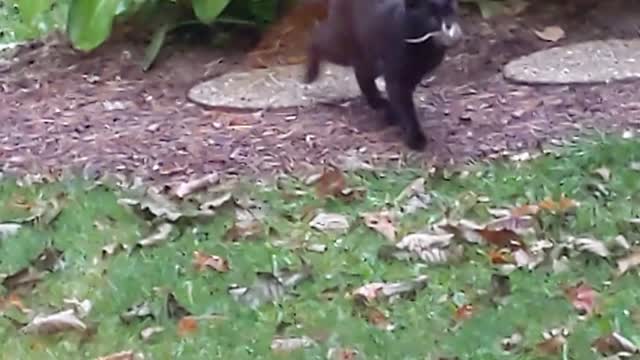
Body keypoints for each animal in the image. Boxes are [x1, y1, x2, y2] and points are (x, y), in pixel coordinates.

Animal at [302, 0, 462, 150]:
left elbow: (402, 102)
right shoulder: (397, 78)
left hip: (367, 58)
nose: (449, 26)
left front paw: (393, 116)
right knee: (317, 37)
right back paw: (310, 75)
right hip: (343, 44)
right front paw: (415, 138)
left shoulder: (413, 75)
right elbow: (405, 107)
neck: (424, 49)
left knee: (362, 76)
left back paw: (378, 103)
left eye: (450, 12)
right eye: (432, 17)